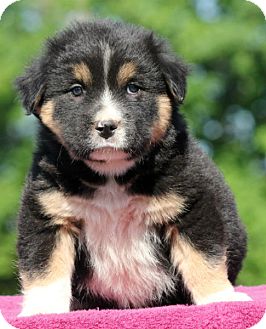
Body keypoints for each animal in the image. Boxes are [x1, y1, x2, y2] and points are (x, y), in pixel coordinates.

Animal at [15, 18, 250, 316]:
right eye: (76, 90)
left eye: (133, 88)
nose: (106, 126)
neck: (111, 177)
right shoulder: (49, 214)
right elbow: (44, 268)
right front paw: (41, 311)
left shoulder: (191, 207)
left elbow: (203, 258)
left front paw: (220, 299)